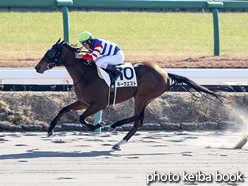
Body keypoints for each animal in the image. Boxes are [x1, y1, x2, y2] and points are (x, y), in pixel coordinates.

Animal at [34, 39, 223, 150]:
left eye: (52, 52)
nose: (37, 67)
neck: (86, 74)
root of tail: (165, 73)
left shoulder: (99, 104)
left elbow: (80, 118)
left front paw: (98, 125)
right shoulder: (84, 102)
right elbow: (64, 109)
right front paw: (50, 130)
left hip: (142, 96)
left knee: (138, 118)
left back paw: (116, 129)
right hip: (144, 97)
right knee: (139, 119)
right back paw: (119, 139)